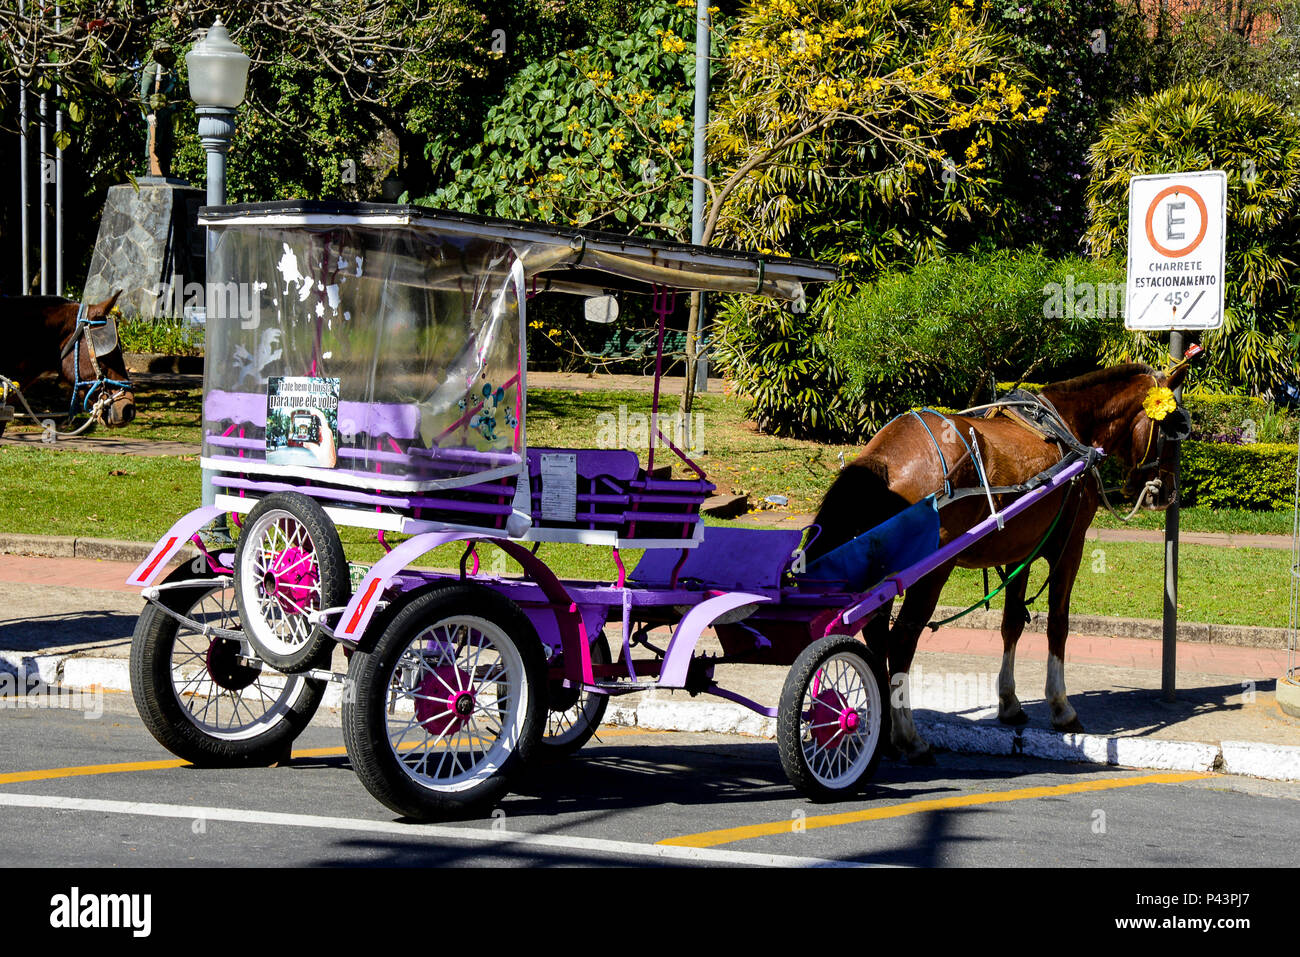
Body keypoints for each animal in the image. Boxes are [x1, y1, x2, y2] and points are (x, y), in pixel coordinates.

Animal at [806, 361, 1190, 764]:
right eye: (1172, 428)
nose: (1166, 492)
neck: (1069, 426)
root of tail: (881, 456)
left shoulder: (1020, 551)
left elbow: (1011, 624)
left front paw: (1008, 702)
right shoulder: (1070, 545)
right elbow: (1058, 624)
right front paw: (1061, 707)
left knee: (877, 636)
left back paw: (882, 732)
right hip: (930, 573)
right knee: (902, 641)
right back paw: (909, 737)